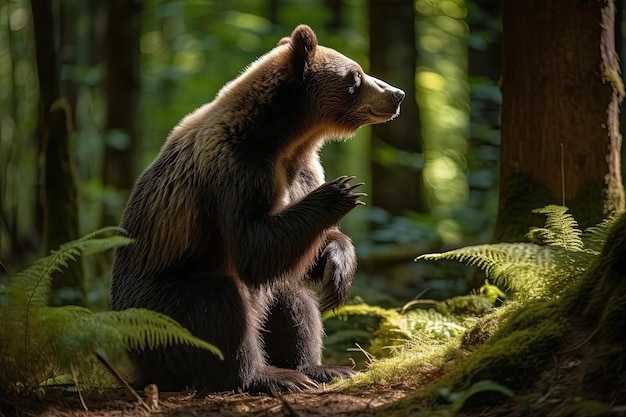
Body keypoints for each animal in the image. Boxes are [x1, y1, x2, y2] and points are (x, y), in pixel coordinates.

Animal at [110, 23, 404, 394]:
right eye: (356, 75)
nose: (397, 94)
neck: (285, 139)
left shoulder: (302, 171)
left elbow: (303, 251)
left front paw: (338, 270)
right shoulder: (238, 170)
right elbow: (251, 246)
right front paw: (341, 191)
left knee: (292, 299)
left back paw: (318, 367)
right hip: (157, 306)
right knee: (220, 306)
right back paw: (267, 375)